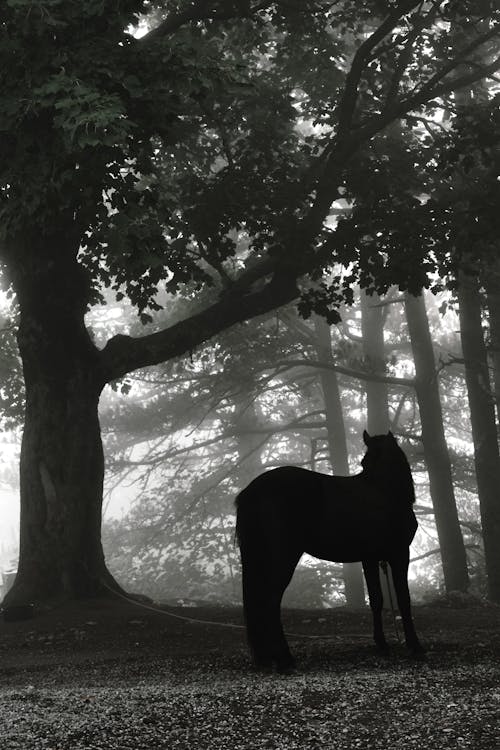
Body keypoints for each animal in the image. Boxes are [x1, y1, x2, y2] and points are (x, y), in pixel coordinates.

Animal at [235, 432, 422, 672]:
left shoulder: (370, 558)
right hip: (283, 557)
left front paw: (382, 644)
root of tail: (252, 490)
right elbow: (404, 599)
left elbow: (377, 600)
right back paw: (284, 659)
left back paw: (269, 657)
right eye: (365, 463)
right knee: (271, 600)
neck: (386, 492)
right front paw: (415, 645)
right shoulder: (399, 555)